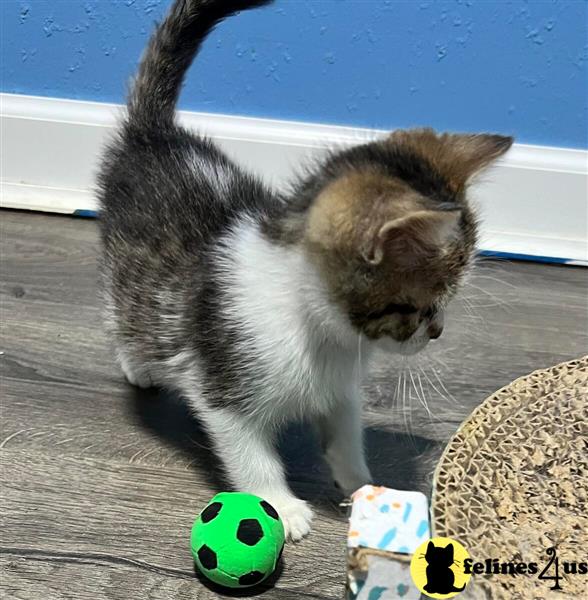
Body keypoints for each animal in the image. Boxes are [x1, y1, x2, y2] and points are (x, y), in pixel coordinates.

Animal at [96, 0, 510, 544]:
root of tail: (154, 133)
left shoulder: (342, 391)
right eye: (419, 307)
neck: (322, 332)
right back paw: (137, 363)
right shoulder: (223, 384)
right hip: (126, 270)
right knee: (121, 307)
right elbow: (249, 452)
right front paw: (281, 506)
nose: (437, 333)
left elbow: (346, 436)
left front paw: (363, 486)